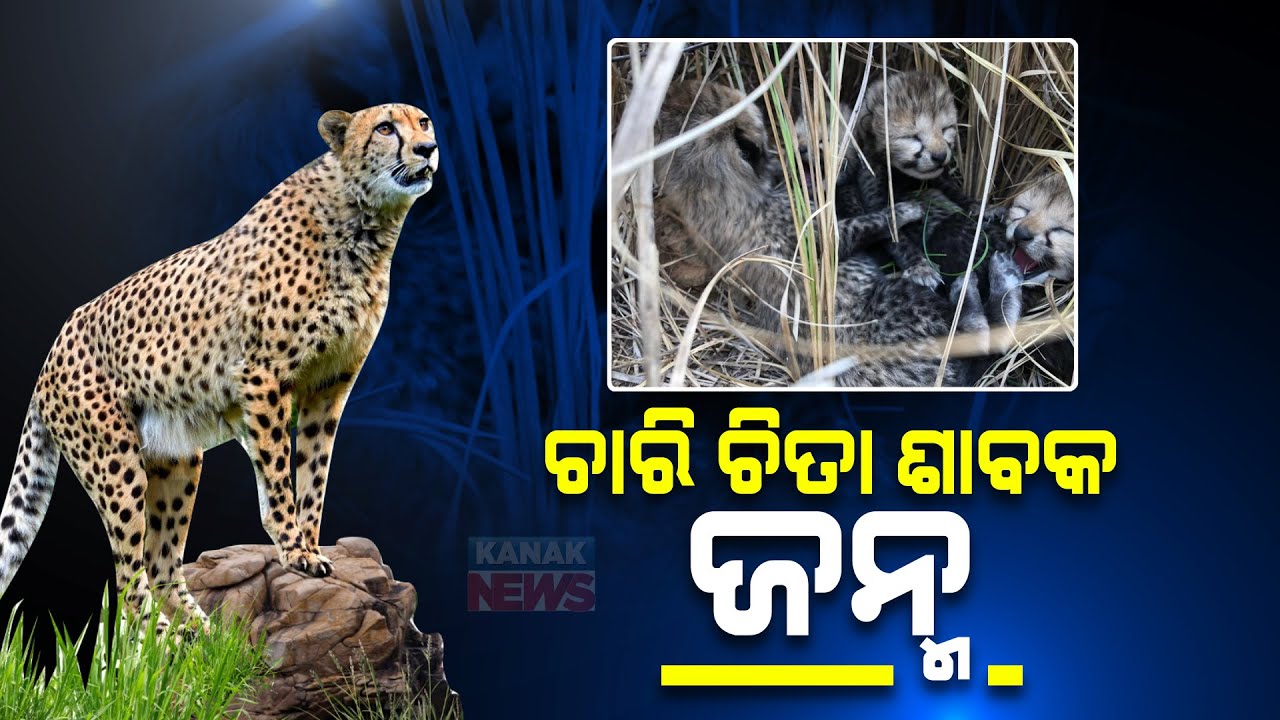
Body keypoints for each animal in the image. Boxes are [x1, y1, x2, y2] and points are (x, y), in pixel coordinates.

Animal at [0, 103, 439, 635]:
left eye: (423, 122)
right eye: (385, 128)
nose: (427, 149)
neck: (366, 221)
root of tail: (53, 347)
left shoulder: (329, 386)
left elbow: (314, 474)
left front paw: (311, 547)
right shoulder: (265, 375)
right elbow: (279, 474)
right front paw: (293, 549)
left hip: (177, 459)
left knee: (162, 564)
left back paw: (204, 637)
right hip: (115, 462)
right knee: (128, 580)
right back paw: (164, 638)